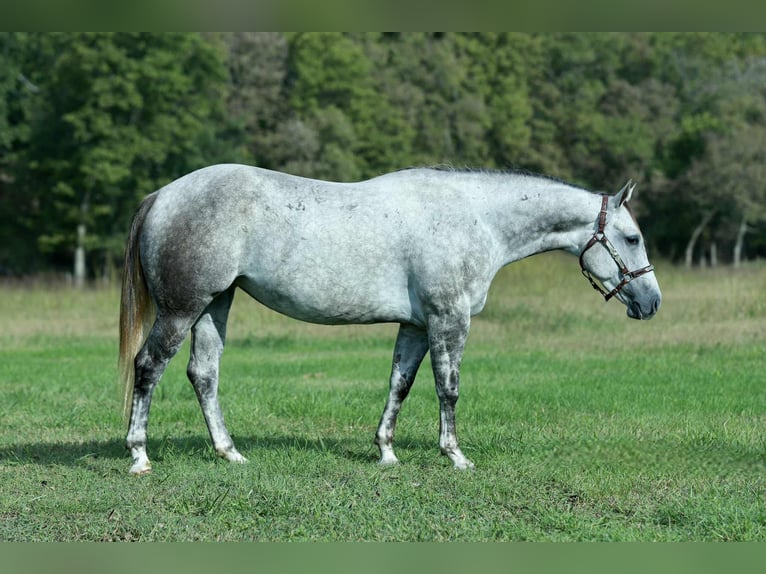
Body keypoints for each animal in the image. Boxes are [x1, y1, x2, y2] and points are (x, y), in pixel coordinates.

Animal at [118, 164, 661, 475]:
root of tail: (162, 196)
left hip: (216, 304)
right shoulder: (448, 320)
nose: (652, 302)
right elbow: (448, 388)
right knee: (148, 368)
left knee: (203, 374)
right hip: (182, 309)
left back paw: (229, 452)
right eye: (632, 237)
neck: (476, 217)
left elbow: (400, 385)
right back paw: (140, 456)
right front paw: (455, 456)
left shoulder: (416, 326)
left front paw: (386, 452)